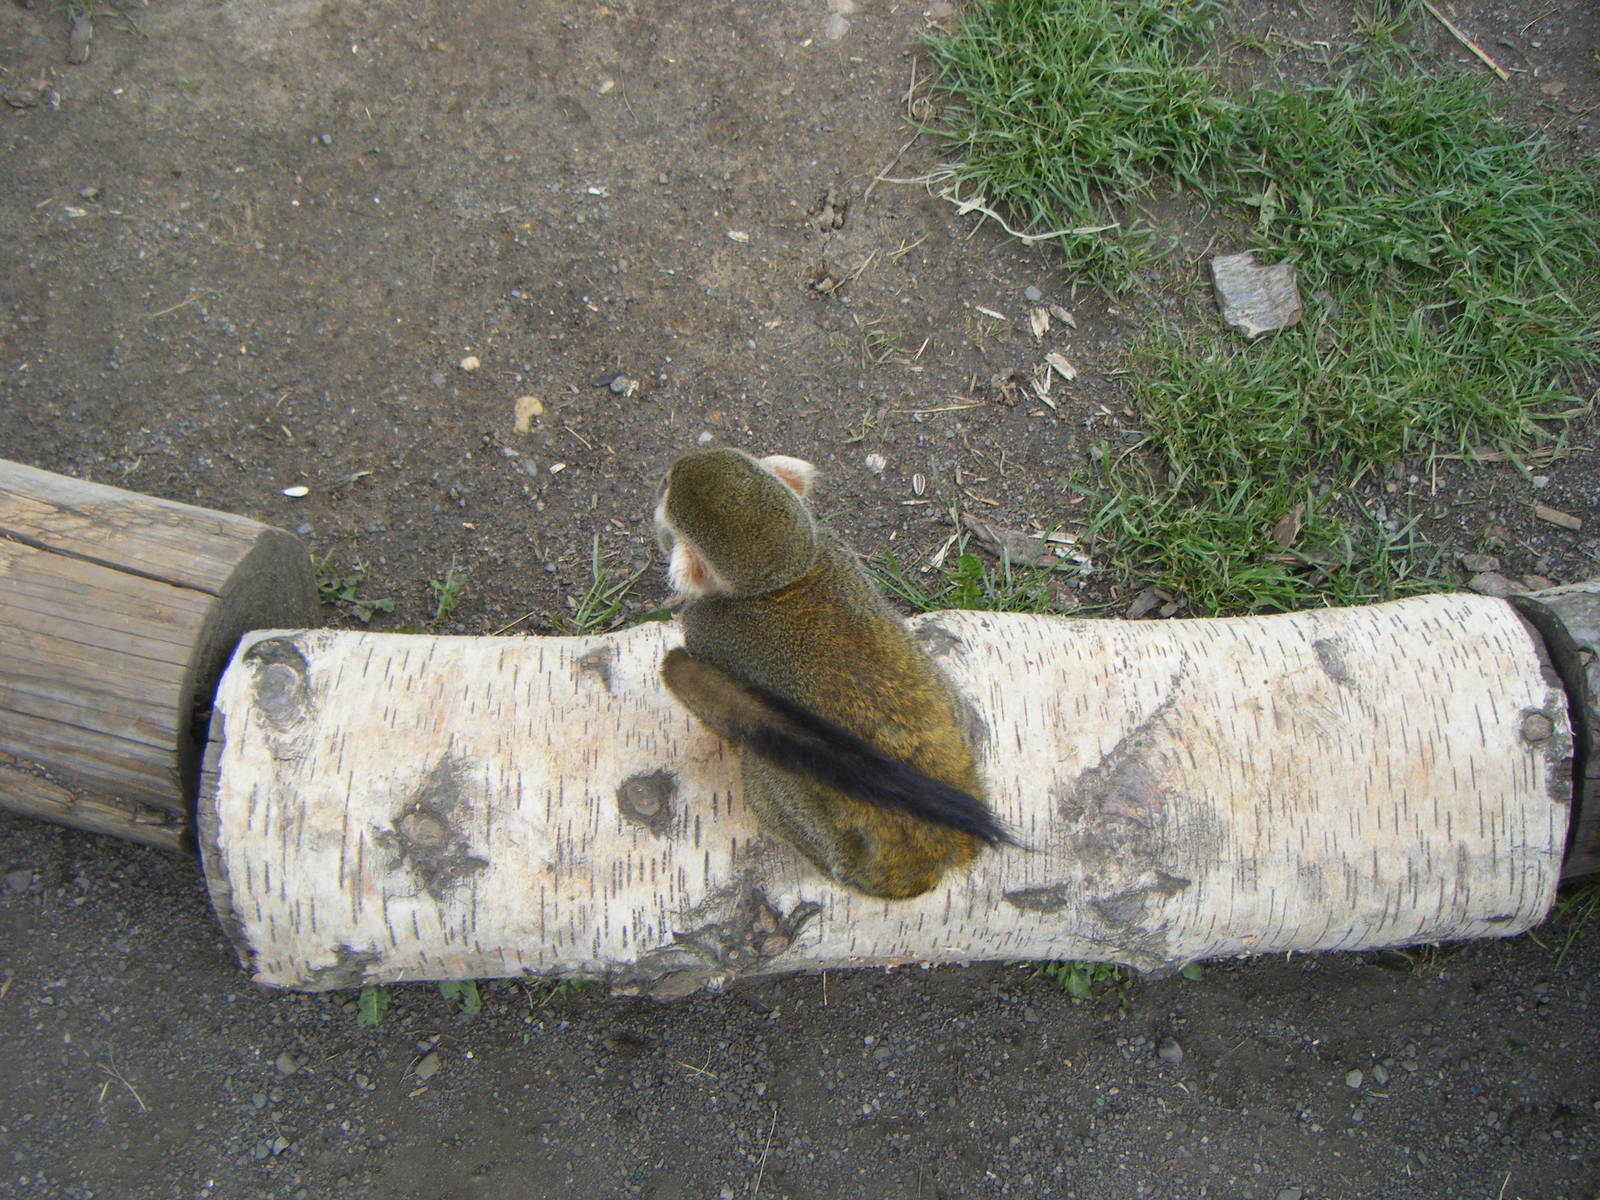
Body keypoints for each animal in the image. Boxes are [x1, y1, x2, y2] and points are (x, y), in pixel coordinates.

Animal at [654, 447, 1008, 899]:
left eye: (666, 485)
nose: (663, 476)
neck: (780, 585)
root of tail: (937, 849)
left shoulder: (704, 628)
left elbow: (713, 699)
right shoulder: (834, 548)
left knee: (761, 768)